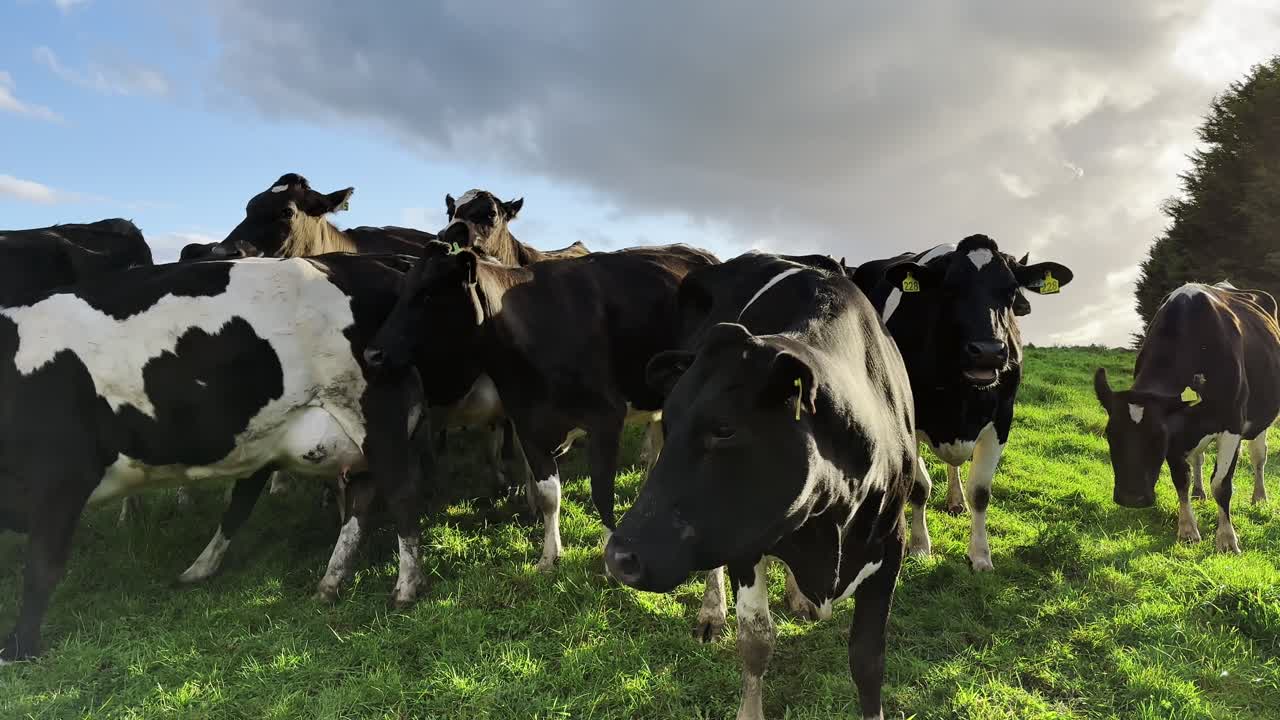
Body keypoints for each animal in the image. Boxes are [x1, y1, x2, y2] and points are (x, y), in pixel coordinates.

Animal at [0, 254, 429, 661]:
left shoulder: (63, 477)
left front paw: (19, 647)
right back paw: (322, 582)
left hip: (376, 416)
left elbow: (41, 567)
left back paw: (406, 587)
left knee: (401, 493)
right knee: (347, 505)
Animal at [364, 241, 719, 570]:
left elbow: (601, 492)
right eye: (402, 293)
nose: (372, 354)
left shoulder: (605, 418)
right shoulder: (527, 423)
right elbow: (550, 495)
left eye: (427, 295)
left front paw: (608, 563)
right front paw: (549, 556)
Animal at [604, 252, 916, 720]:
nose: (620, 557)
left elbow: (868, 659)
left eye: (725, 429)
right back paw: (712, 612)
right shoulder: (743, 543)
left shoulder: (891, 542)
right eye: (670, 422)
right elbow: (756, 642)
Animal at [851, 234, 1074, 571]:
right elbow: (919, 488)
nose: (988, 352)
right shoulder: (910, 420)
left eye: (1010, 290)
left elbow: (979, 492)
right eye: (949, 289)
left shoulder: (1002, 418)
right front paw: (919, 546)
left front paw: (980, 555)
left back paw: (955, 500)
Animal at [1094, 281, 1280, 552]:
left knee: (1258, 456)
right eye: (1110, 434)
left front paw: (1227, 539)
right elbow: (1181, 479)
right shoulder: (1177, 428)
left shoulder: (1232, 423)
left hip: (1261, 419)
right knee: (1198, 459)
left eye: (1158, 438)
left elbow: (1221, 484)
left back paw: (1259, 497)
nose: (1131, 498)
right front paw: (1187, 530)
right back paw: (1199, 492)